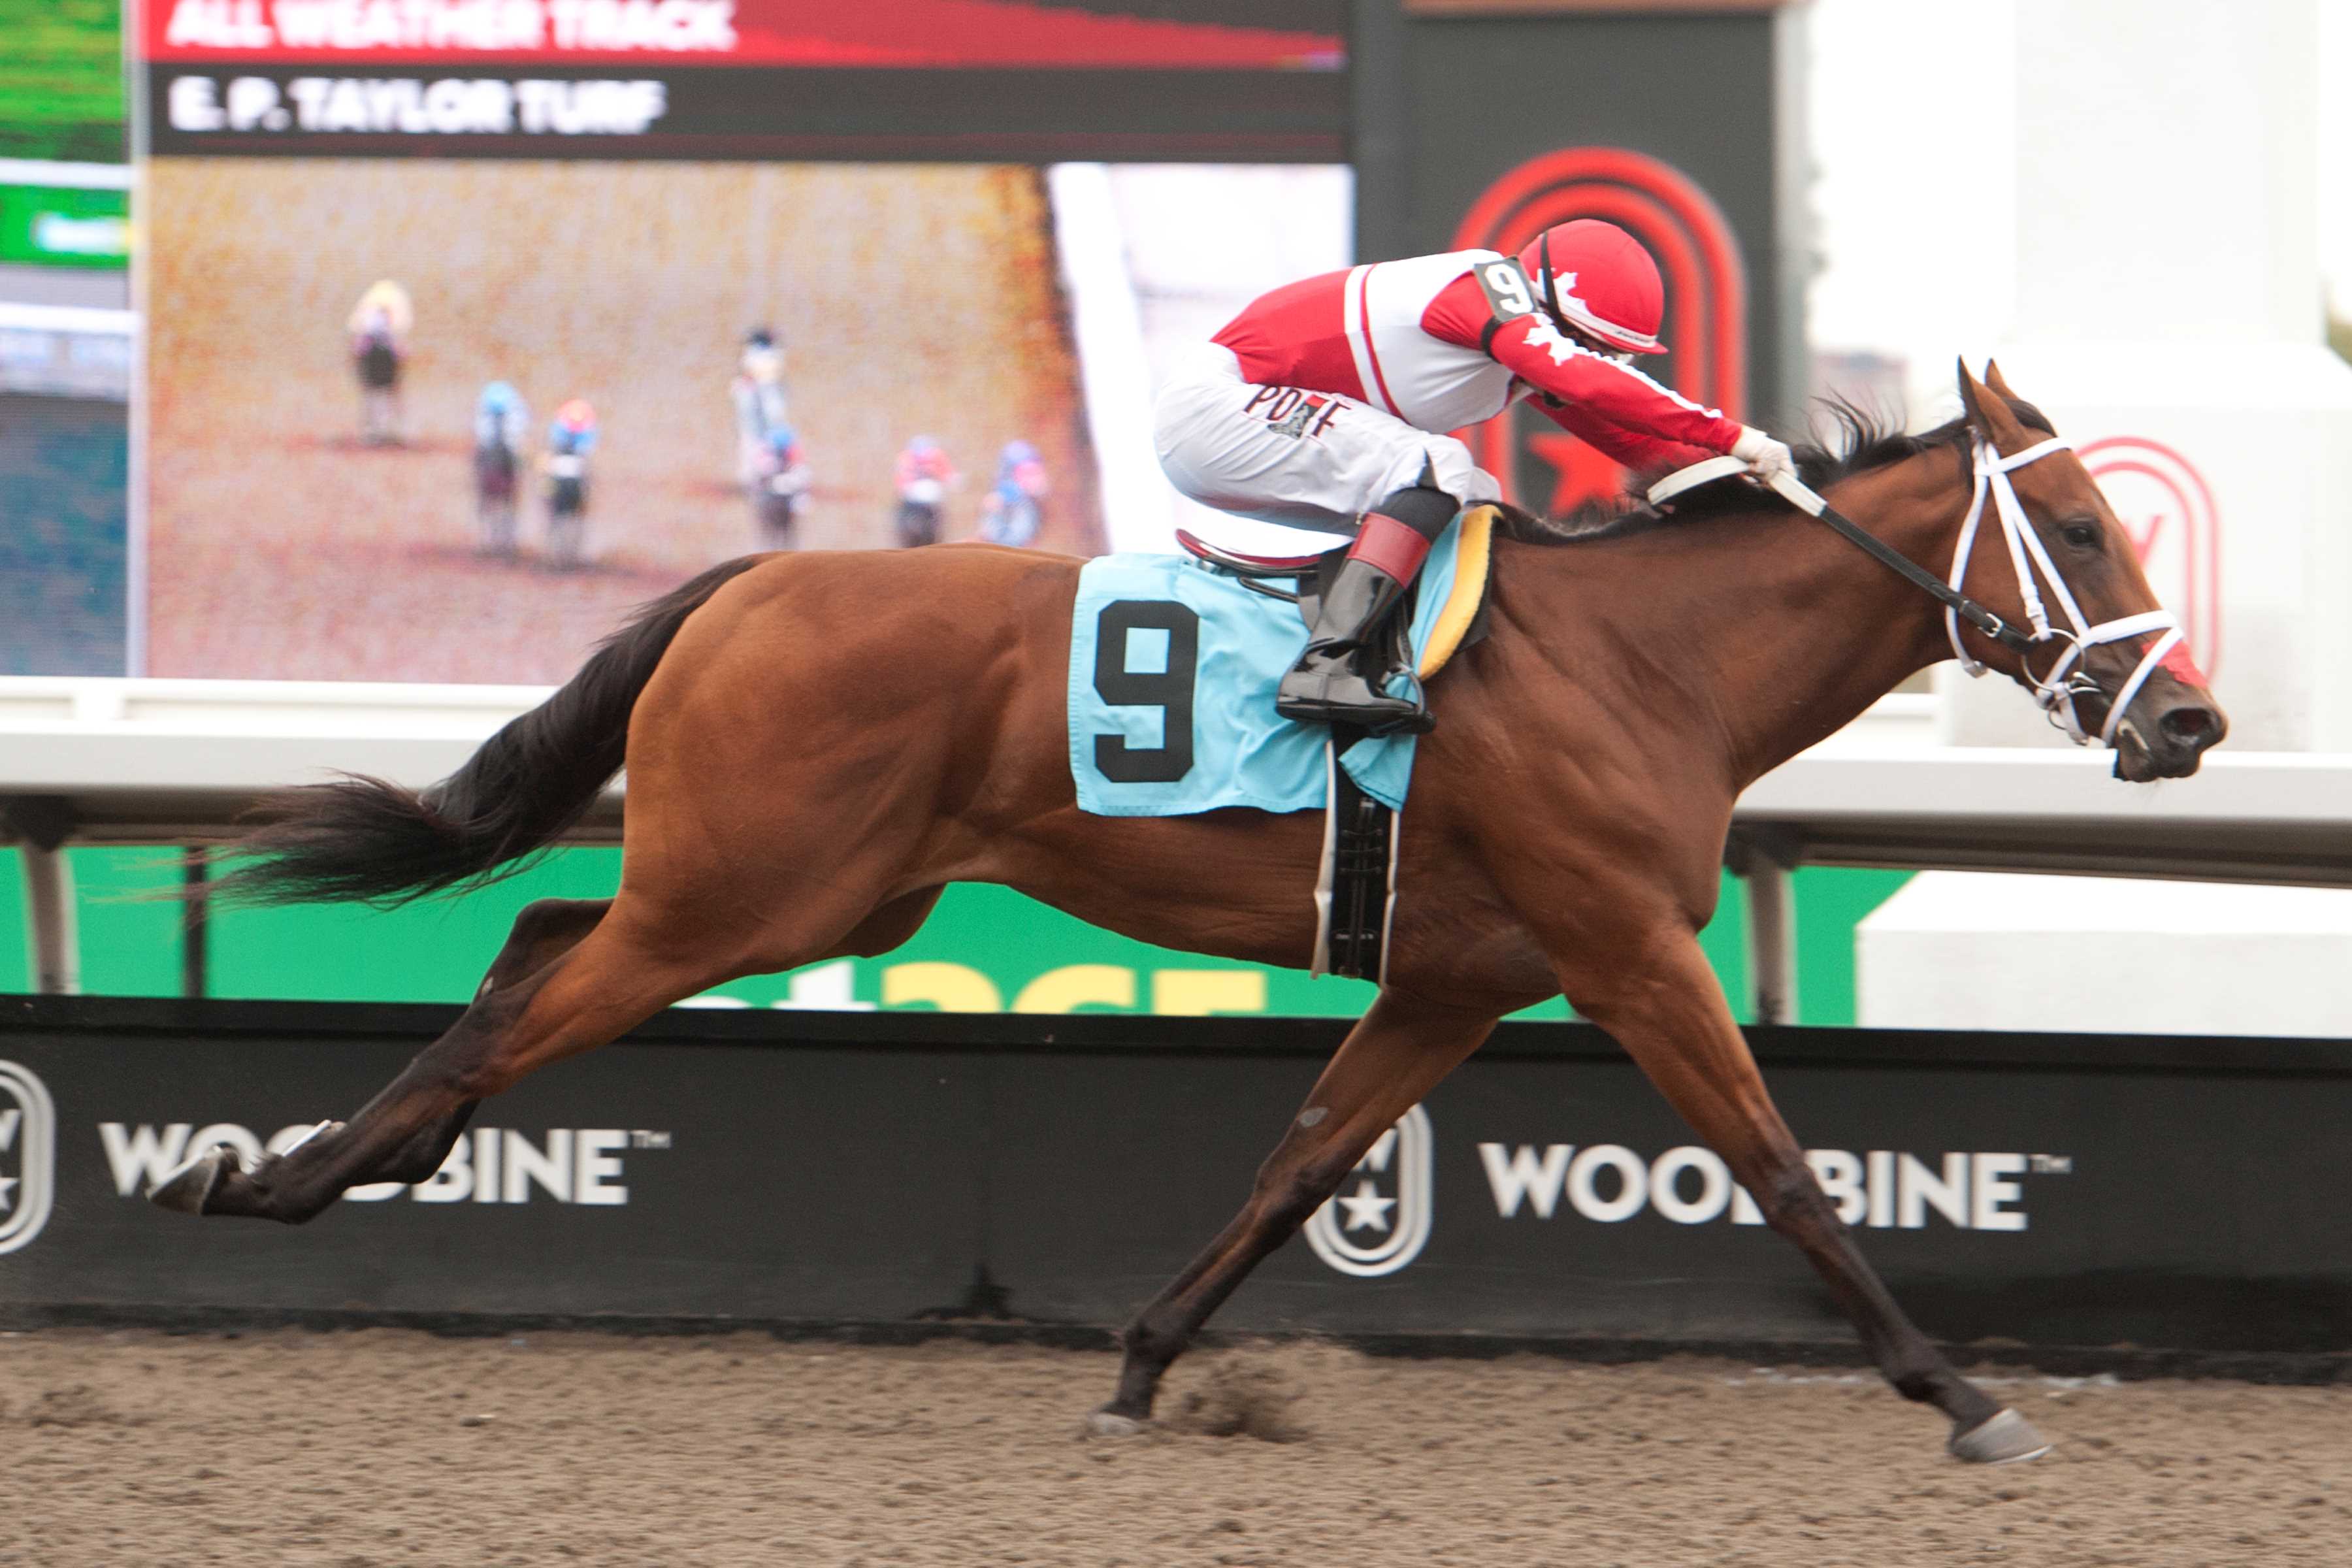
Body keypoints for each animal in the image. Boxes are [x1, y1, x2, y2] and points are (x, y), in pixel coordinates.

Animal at [165, 368, 2220, 1476]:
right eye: (2084, 532)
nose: (2191, 723)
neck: (1653, 660)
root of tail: (748, 579)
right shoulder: (1625, 954)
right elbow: (1784, 1167)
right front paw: (1964, 1392)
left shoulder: (1457, 979)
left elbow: (1300, 1163)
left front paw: (1145, 1367)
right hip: (746, 892)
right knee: (529, 994)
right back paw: (270, 1175)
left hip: (793, 883)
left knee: (527, 948)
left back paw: (334, 1160)